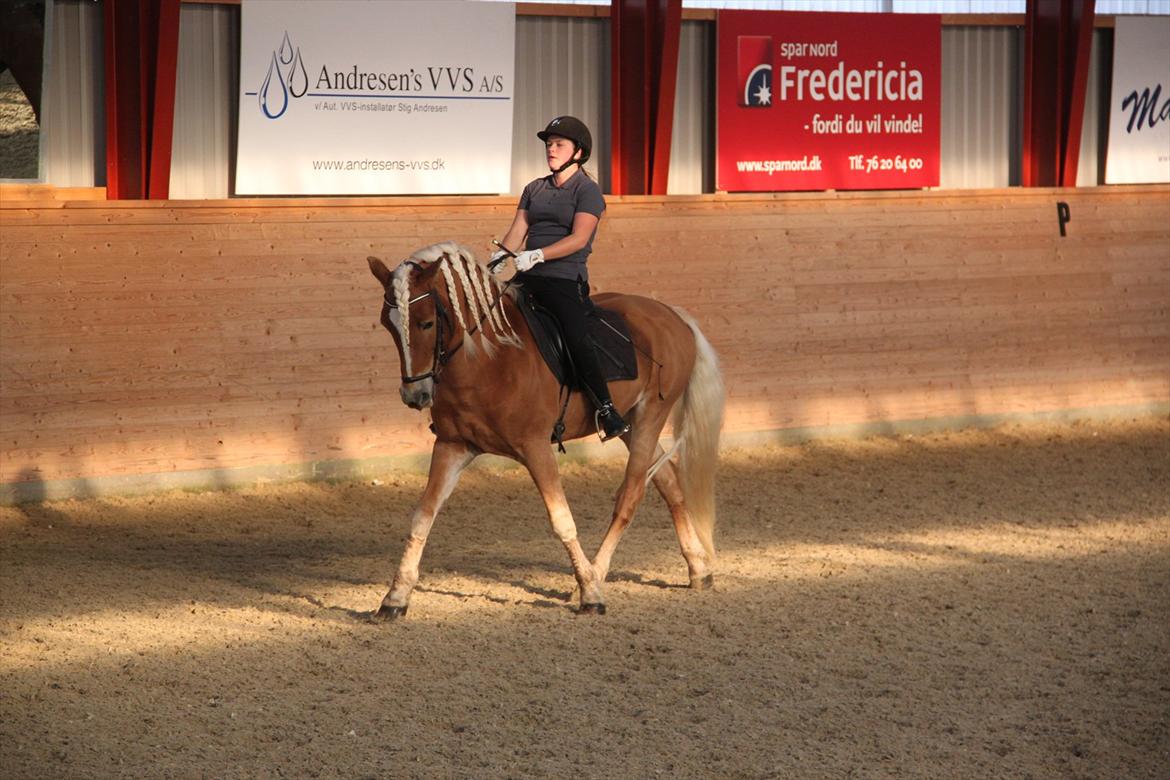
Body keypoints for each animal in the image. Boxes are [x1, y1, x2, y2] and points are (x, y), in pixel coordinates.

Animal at [369, 240, 725, 617]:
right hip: (630, 423)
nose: (414, 396)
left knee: (631, 494)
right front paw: (395, 597)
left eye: (425, 323)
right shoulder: (453, 445)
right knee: (669, 482)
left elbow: (561, 520)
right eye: (388, 325)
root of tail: (673, 315)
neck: (488, 361)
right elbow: (422, 516)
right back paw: (698, 569)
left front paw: (590, 594)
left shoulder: (535, 446)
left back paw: (596, 574)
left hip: (650, 416)